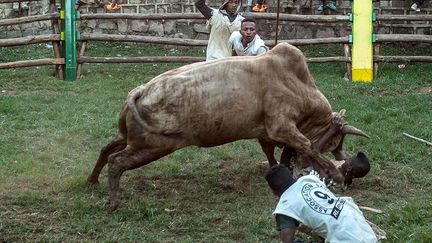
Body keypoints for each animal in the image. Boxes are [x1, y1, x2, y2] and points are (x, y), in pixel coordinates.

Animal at [87, 42, 368, 209]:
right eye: (333, 142)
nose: (347, 173)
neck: (299, 85)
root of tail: (140, 91)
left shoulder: (267, 133)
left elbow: (277, 154)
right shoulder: (282, 127)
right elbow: (307, 146)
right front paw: (334, 174)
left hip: (129, 137)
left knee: (106, 150)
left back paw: (92, 180)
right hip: (154, 145)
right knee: (116, 161)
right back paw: (114, 202)